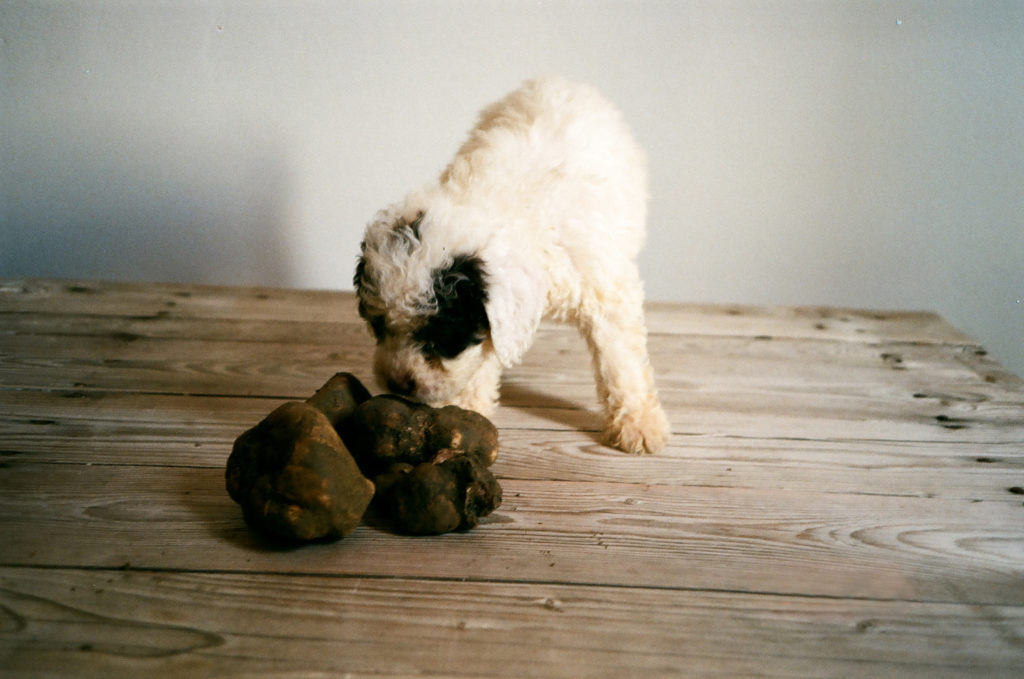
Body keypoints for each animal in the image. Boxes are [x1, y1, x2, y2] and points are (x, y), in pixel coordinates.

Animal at [354, 76, 671, 454]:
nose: (398, 383)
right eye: (378, 326)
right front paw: (465, 409)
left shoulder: (604, 289)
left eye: (444, 337)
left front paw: (639, 425)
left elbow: (621, 361)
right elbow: (483, 356)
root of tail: (560, 80)